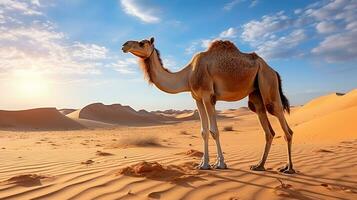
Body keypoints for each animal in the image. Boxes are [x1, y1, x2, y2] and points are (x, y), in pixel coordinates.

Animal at [122, 37, 294, 173]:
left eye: (142, 43)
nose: (124, 45)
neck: (188, 74)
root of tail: (274, 71)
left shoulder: (207, 95)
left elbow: (214, 131)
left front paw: (220, 164)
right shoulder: (197, 98)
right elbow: (204, 131)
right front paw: (203, 164)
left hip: (268, 82)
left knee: (283, 122)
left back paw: (288, 168)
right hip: (256, 94)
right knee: (268, 130)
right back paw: (259, 166)